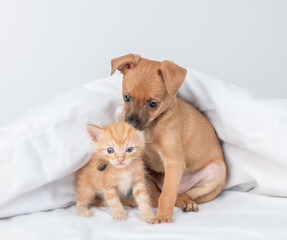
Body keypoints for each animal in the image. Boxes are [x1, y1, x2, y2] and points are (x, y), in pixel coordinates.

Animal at [111, 54, 226, 223]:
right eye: (127, 97)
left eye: (153, 103)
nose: (131, 124)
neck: (150, 128)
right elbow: (159, 195)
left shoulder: (173, 161)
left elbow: (167, 194)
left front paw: (163, 217)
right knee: (156, 196)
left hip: (216, 173)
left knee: (178, 195)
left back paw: (186, 202)